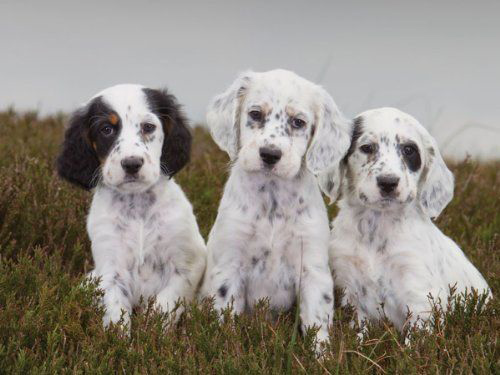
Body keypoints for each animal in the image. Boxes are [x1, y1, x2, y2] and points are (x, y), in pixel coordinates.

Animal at [57, 83, 206, 328]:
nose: (132, 164)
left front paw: (152, 330)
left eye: (148, 127)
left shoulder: (187, 263)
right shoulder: (111, 270)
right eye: (106, 129)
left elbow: (166, 303)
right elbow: (116, 316)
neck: (138, 208)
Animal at [200, 69, 352, 354]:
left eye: (298, 122)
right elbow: (226, 315)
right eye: (255, 114)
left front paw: (321, 356)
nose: (270, 155)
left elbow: (317, 320)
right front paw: (228, 350)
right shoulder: (230, 265)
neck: (272, 200)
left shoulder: (312, 267)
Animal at [318, 107, 490, 336]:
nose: (388, 182)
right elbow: (359, 332)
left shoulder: (419, 294)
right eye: (367, 147)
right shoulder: (352, 291)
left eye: (409, 150)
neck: (377, 226)